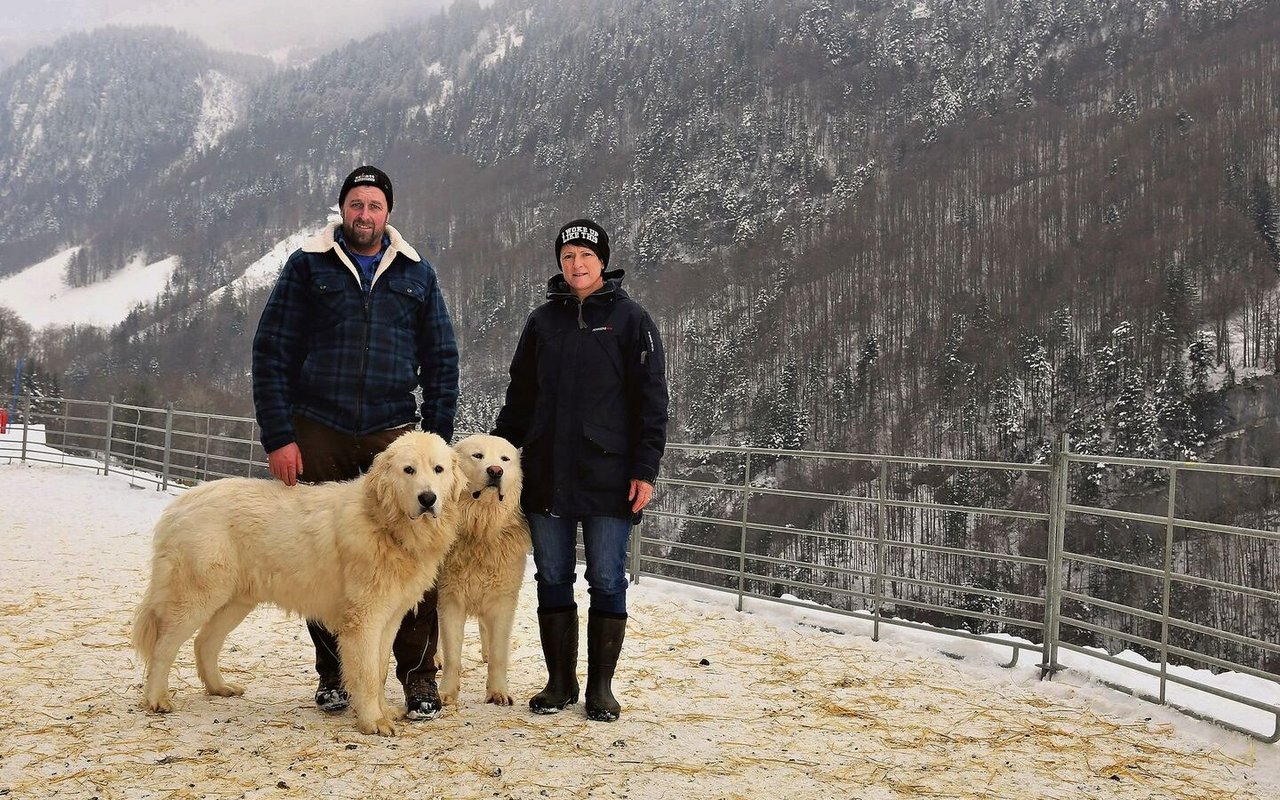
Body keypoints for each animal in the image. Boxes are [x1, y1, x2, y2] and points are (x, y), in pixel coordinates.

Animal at [132, 432, 463, 732]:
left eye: (438, 469)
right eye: (408, 470)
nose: (427, 498)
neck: (383, 523)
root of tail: (181, 503)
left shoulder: (390, 617)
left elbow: (379, 670)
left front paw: (383, 712)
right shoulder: (365, 620)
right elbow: (368, 674)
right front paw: (373, 721)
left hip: (235, 602)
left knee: (204, 642)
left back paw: (219, 687)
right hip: (196, 596)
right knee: (164, 646)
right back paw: (157, 700)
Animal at [432, 432, 527, 701]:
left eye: (505, 459)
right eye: (477, 455)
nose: (495, 471)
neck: (480, 528)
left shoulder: (502, 600)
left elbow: (498, 653)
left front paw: (498, 692)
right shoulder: (450, 599)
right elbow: (452, 653)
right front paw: (447, 692)